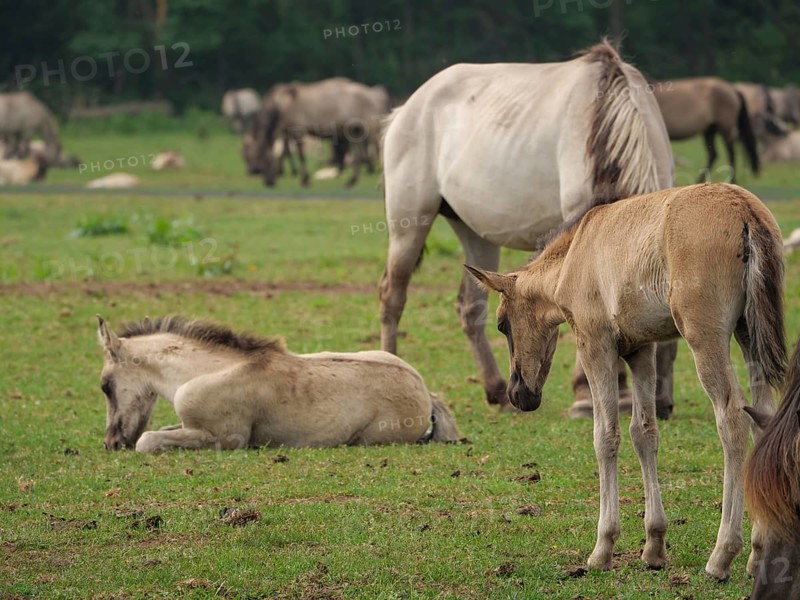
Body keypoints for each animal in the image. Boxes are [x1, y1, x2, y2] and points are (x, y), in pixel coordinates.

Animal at [96, 315, 460, 452]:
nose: (111, 442)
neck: (202, 371)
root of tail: (423, 389)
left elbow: (147, 440)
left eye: (105, 385)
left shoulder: (226, 438)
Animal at [247, 77, 386, 187]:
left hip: (370, 129)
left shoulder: (297, 130)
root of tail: (373, 94)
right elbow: (283, 152)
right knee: (358, 154)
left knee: (379, 148)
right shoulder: (286, 132)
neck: (284, 105)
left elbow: (300, 154)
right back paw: (352, 180)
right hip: (355, 131)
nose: (253, 171)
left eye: (261, 158)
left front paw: (304, 179)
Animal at [379, 39, 678, 419]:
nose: (660, 401)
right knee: (393, 296)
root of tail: (409, 106)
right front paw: (587, 394)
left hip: (476, 235)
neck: (602, 120)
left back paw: (495, 389)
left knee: (470, 307)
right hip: (409, 226)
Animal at [467, 182, 786, 581]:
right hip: (749, 334)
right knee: (762, 416)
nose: (517, 393)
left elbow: (606, 435)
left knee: (732, 418)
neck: (575, 253)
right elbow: (643, 433)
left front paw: (602, 548)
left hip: (705, 336)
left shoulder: (596, 344)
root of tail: (743, 208)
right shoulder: (641, 349)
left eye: (501, 324)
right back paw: (758, 554)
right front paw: (654, 546)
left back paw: (722, 554)